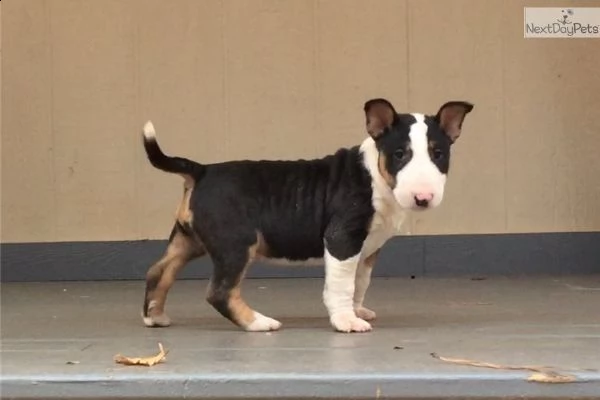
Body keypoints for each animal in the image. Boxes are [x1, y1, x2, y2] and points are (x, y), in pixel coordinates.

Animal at [142, 98, 474, 332]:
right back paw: (260, 323)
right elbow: (341, 284)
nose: (423, 198)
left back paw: (155, 317)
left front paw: (356, 311)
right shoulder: (342, 239)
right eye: (400, 154)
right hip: (235, 243)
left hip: (189, 239)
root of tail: (202, 171)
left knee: (159, 271)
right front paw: (346, 321)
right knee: (219, 292)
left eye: (439, 154)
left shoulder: (367, 250)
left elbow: (359, 282)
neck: (375, 177)